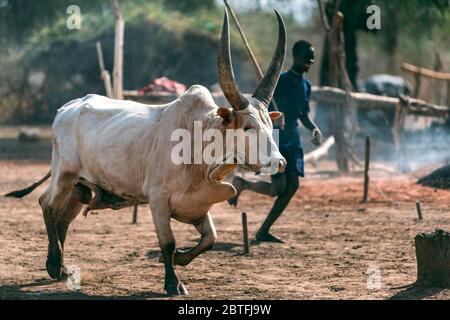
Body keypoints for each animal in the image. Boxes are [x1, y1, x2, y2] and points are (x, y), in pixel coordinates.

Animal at [6, 7, 288, 296]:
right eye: (247, 127)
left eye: (270, 125)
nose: (279, 163)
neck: (198, 144)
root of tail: (66, 108)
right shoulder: (158, 200)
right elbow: (168, 242)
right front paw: (173, 283)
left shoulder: (198, 204)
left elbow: (210, 238)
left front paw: (180, 260)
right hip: (64, 174)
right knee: (47, 204)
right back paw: (53, 264)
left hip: (81, 187)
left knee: (64, 218)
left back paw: (61, 267)